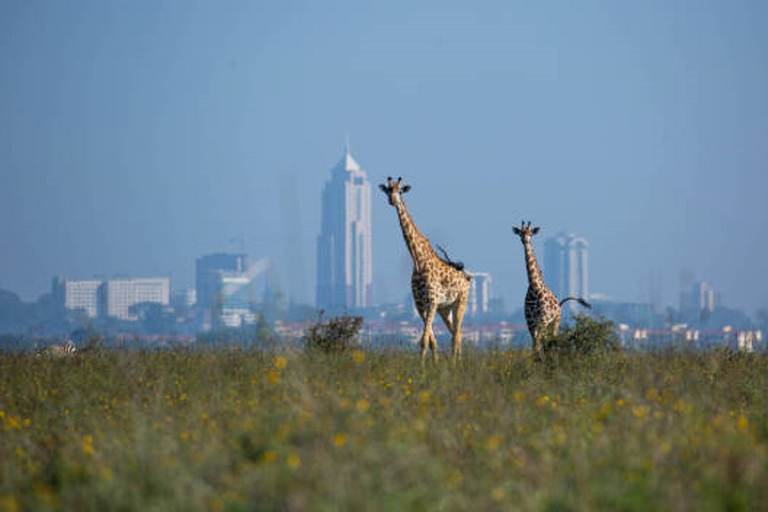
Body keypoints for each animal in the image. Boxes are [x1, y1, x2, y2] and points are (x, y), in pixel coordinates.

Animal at [380, 178, 474, 362]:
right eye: (388, 190)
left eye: (400, 191)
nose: (392, 200)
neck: (418, 260)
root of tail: (468, 279)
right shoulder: (421, 305)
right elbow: (431, 341)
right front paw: (432, 364)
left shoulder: (432, 301)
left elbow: (424, 340)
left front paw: (423, 367)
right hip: (445, 309)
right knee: (456, 333)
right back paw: (457, 361)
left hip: (461, 302)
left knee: (456, 335)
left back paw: (455, 364)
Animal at [512, 221, 592, 360]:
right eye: (520, 233)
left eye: (531, 234)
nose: (525, 241)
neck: (534, 286)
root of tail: (559, 305)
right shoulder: (530, 322)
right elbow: (535, 345)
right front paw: (534, 361)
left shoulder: (543, 319)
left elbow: (537, 344)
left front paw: (538, 361)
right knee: (545, 343)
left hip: (555, 322)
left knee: (552, 341)